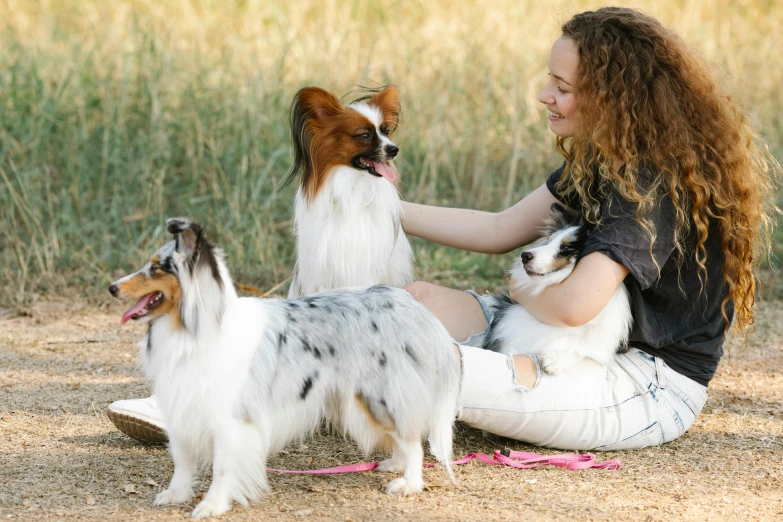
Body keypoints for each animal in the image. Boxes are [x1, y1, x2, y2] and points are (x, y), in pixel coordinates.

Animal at [107, 216, 456, 516]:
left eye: (155, 268)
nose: (111, 287)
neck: (193, 329)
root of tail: (409, 305)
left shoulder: (229, 419)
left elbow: (222, 466)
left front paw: (212, 505)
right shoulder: (183, 407)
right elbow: (182, 461)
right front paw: (176, 495)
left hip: (379, 394)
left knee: (412, 439)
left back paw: (409, 483)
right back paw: (394, 465)